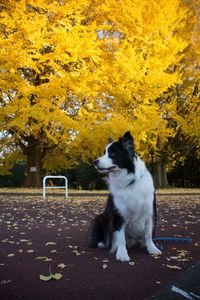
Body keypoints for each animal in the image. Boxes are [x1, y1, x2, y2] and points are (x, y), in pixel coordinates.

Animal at [90, 132, 162, 262]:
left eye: (112, 154)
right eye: (104, 152)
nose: (95, 161)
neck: (130, 181)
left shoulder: (149, 212)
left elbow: (148, 234)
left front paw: (152, 248)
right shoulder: (119, 213)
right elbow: (121, 237)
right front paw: (122, 254)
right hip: (100, 217)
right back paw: (102, 243)